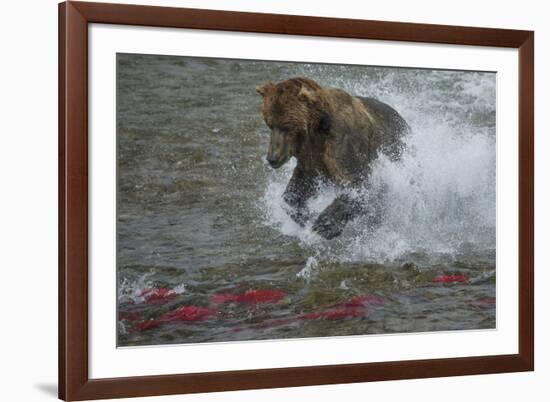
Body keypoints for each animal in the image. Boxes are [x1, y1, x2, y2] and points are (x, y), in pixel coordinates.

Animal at [256, 77, 408, 239]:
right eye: (270, 124)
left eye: (286, 126)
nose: (272, 158)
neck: (316, 131)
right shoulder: (310, 159)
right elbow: (296, 190)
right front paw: (305, 216)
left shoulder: (341, 144)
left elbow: (357, 183)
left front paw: (324, 224)